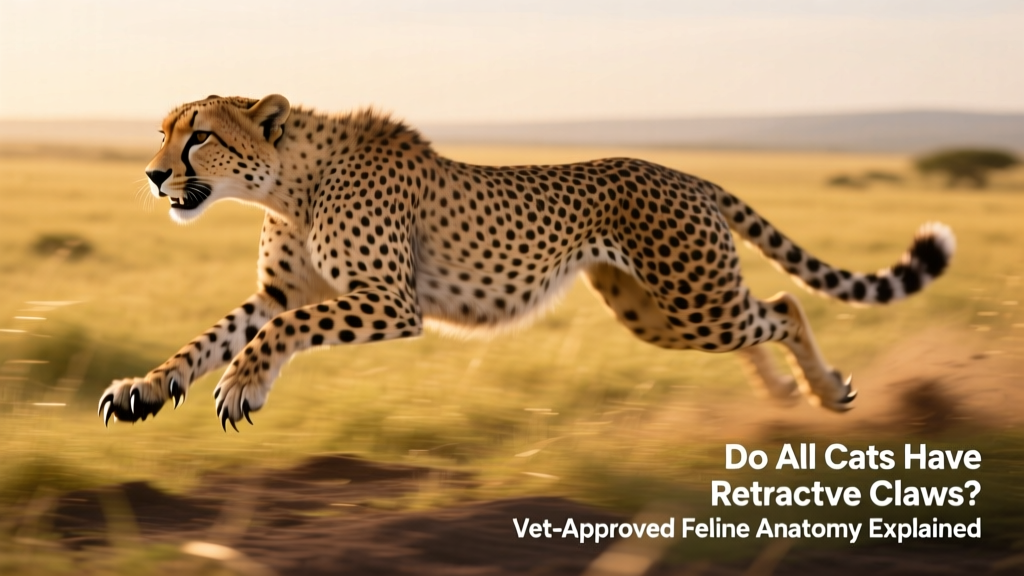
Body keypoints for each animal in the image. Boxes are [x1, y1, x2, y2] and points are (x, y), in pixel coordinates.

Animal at [98, 94, 956, 431]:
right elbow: (212, 335)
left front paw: (242, 386)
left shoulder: (390, 303)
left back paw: (826, 391)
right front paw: (147, 388)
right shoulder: (281, 292)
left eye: (199, 135)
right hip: (660, 313)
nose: (153, 174)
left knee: (783, 307)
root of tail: (681, 172)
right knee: (763, 320)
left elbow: (271, 337)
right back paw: (782, 395)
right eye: (164, 132)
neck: (287, 183)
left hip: (695, 298)